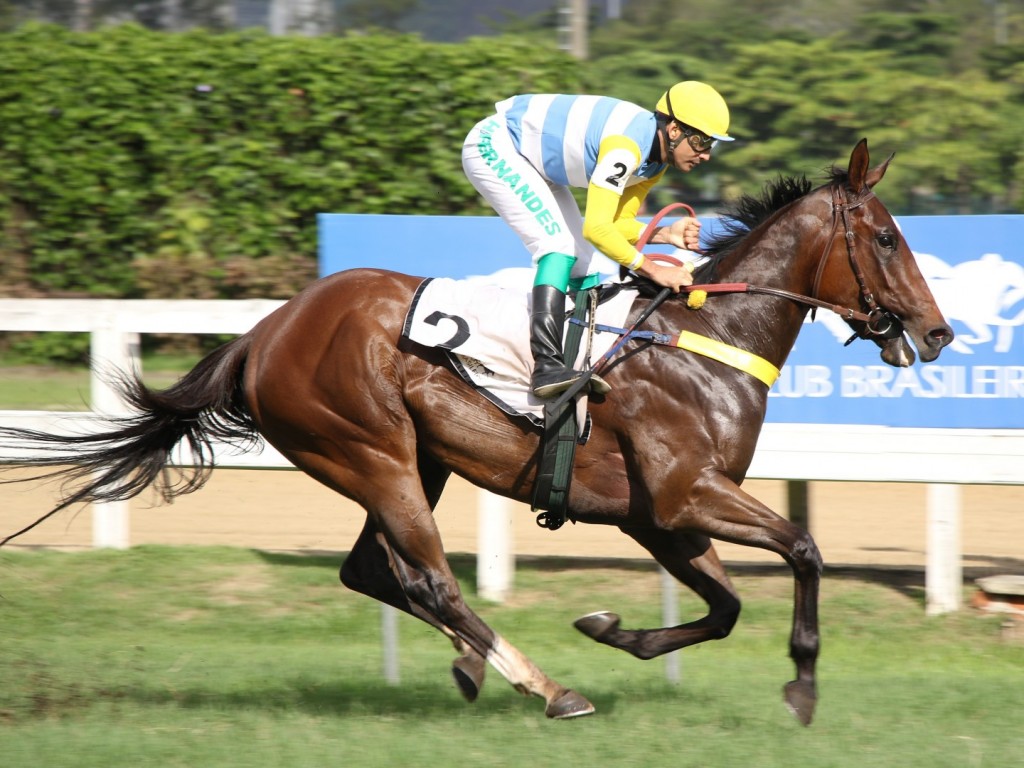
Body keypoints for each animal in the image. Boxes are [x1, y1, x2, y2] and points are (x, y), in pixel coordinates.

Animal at [2, 140, 950, 729]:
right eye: (886, 237)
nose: (937, 333)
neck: (703, 341)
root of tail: (265, 333)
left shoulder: (657, 515)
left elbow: (723, 608)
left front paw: (615, 630)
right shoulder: (688, 494)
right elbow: (803, 552)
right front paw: (802, 684)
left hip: (417, 463)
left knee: (371, 571)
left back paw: (472, 664)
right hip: (371, 452)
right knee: (427, 579)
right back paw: (545, 687)